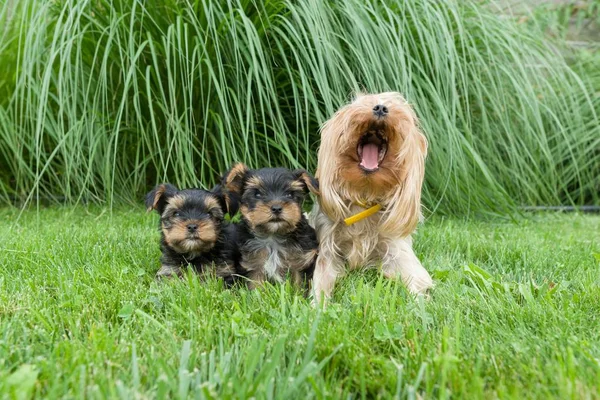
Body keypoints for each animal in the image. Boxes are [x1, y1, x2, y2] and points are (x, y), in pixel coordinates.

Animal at [310, 91, 432, 304]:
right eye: (360, 104)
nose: (381, 107)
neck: (365, 192)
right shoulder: (327, 247)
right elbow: (322, 277)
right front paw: (318, 305)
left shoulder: (395, 250)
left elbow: (414, 277)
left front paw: (420, 303)